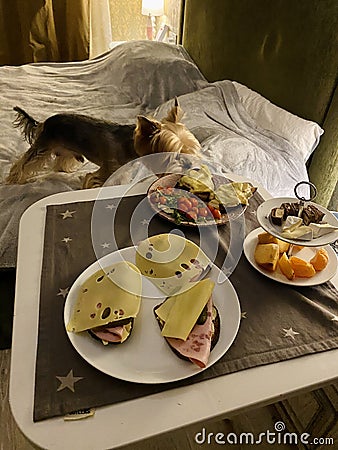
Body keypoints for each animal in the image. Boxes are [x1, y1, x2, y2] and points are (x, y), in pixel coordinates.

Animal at [5, 98, 201, 188]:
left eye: (191, 150)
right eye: (172, 154)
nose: (191, 167)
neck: (130, 144)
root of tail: (44, 122)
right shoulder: (106, 171)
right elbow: (93, 179)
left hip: (67, 149)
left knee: (62, 159)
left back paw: (64, 169)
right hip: (43, 146)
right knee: (25, 162)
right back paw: (14, 179)